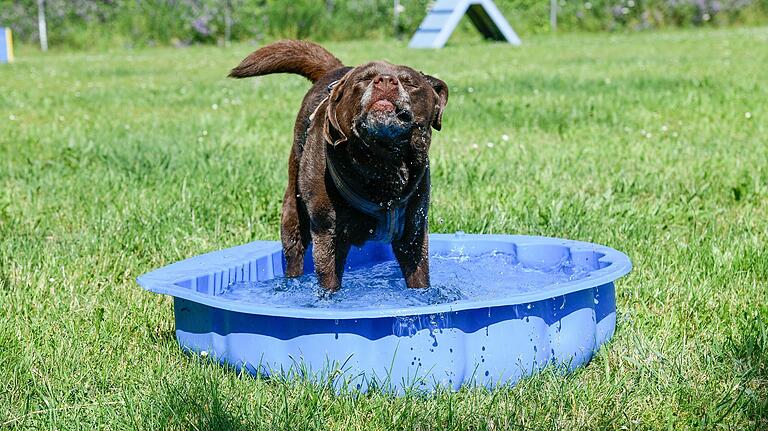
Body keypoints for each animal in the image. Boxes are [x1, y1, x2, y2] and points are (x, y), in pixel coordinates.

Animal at [228, 40, 448, 292]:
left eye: (410, 82)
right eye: (364, 78)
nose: (385, 80)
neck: (382, 163)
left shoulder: (413, 234)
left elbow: (419, 278)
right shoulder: (328, 234)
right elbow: (329, 282)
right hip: (293, 212)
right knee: (294, 252)